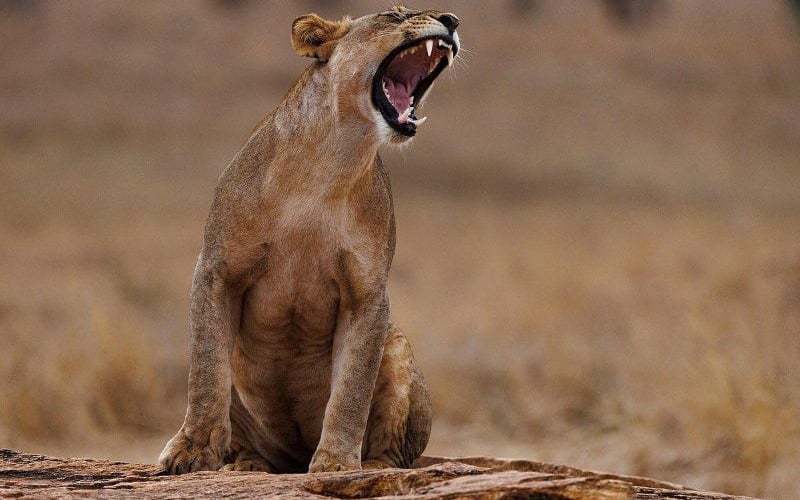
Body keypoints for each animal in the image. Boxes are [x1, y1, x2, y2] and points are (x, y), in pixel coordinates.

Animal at [158, 6, 460, 474]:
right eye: (394, 14)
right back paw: (245, 465)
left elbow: (351, 390)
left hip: (396, 346)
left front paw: (337, 464)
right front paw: (191, 451)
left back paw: (375, 467)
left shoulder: (367, 294)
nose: (452, 19)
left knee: (395, 450)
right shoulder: (216, 270)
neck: (331, 162)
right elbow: (206, 372)